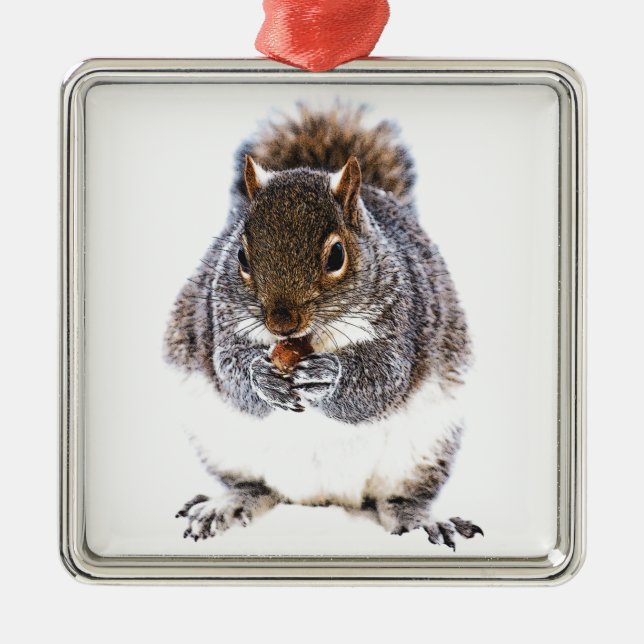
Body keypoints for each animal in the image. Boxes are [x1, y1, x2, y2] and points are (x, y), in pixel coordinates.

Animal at [165, 105, 482, 548]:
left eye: (336, 256)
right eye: (241, 256)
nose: (281, 323)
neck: (308, 339)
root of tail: (322, 499)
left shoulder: (403, 322)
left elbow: (382, 382)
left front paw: (327, 377)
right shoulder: (219, 320)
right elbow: (230, 372)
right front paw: (261, 377)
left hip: (423, 449)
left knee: (399, 498)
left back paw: (421, 521)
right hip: (221, 443)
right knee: (255, 486)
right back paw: (226, 505)